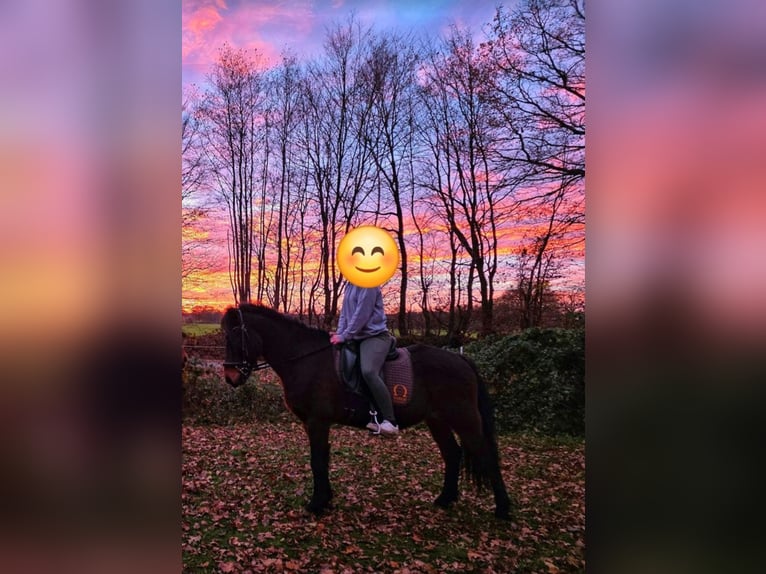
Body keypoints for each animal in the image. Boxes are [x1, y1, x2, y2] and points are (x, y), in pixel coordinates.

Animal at [221, 303, 512, 519]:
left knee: (486, 455)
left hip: (464, 419)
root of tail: (460, 359)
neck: (306, 359)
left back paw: (503, 509)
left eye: (235, 337)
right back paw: (444, 499)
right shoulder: (317, 423)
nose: (230, 377)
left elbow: (317, 461)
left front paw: (316, 504)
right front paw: (325, 500)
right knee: (452, 454)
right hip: (437, 420)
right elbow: (323, 459)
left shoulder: (317, 421)